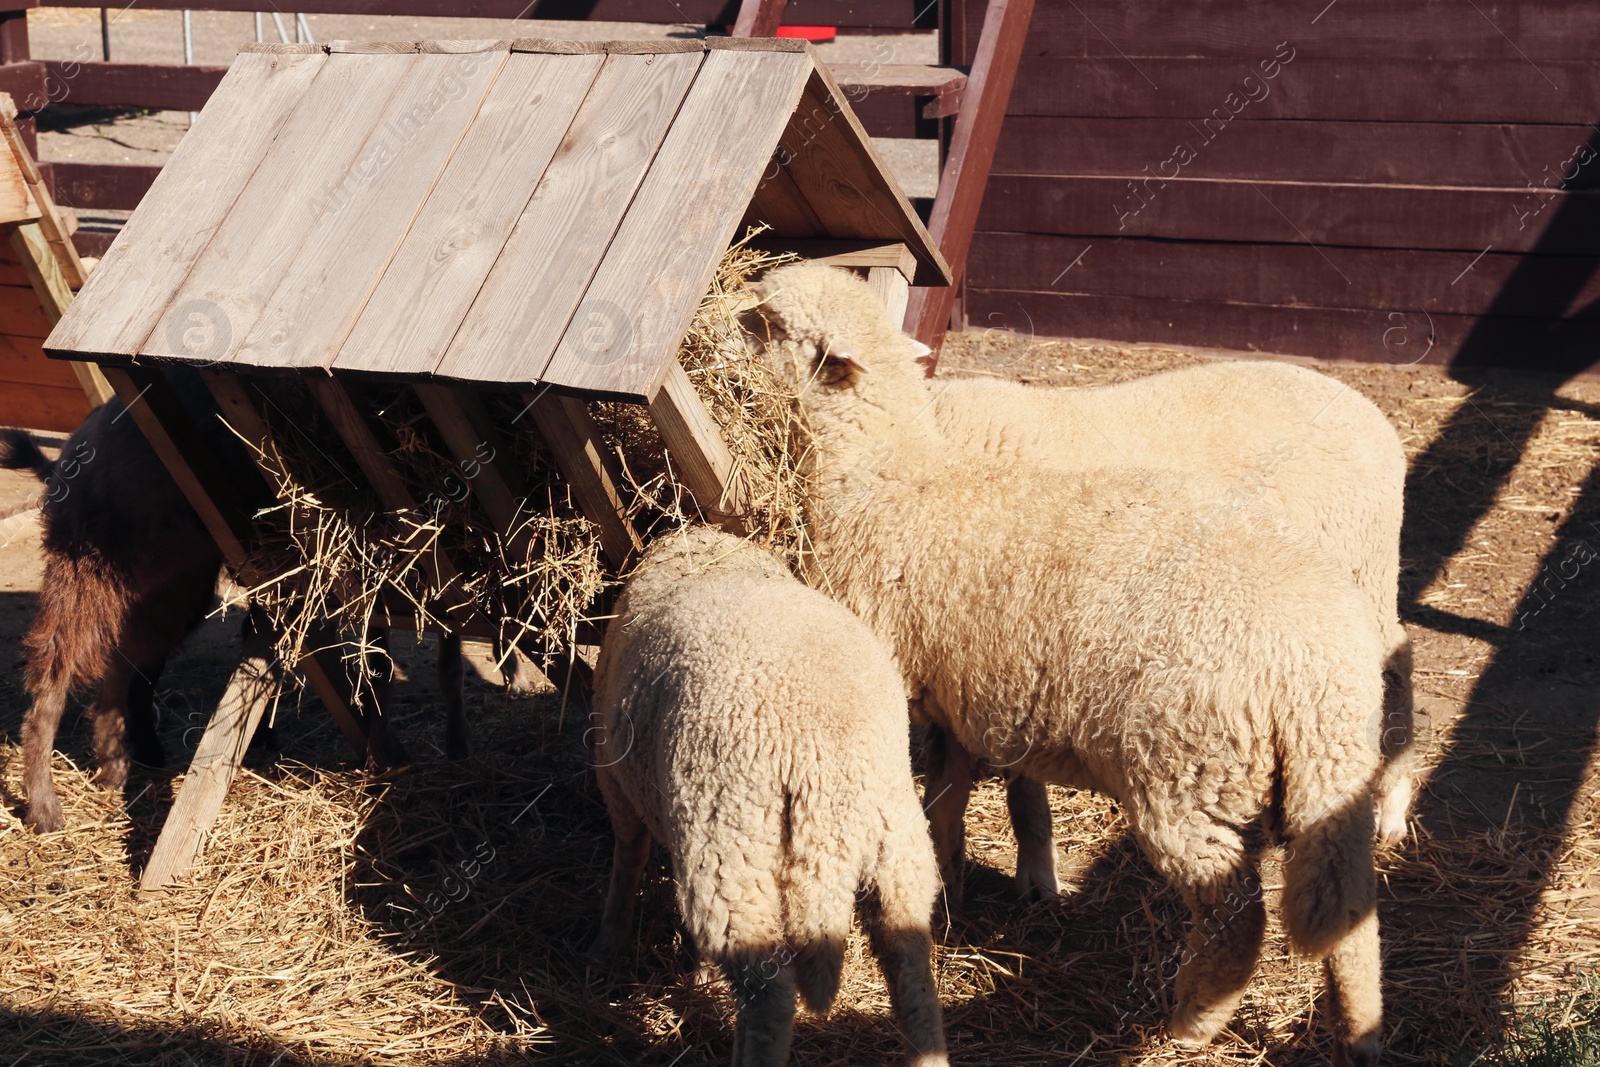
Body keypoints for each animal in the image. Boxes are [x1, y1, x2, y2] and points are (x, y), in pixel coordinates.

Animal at [3, 383, 473, 831]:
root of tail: (87, 433)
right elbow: (381, 673)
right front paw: (393, 761)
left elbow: (433, 668)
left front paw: (448, 751)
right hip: (93, 571)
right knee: (53, 678)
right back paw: (46, 806)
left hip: (171, 587)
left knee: (126, 666)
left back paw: (119, 766)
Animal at [592, 524, 947, 1067]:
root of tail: (826, 765)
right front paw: (697, 972)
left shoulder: (616, 779)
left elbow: (627, 858)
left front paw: (611, 940)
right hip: (899, 841)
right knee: (910, 967)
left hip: (730, 846)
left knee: (769, 997)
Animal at [748, 262, 1388, 1062]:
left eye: (766, 323)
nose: (731, 312)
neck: (890, 475)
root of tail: (1321, 669)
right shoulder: (964, 690)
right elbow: (950, 792)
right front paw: (951, 881)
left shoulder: (904, 676)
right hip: (1328, 774)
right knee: (1349, 910)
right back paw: (1359, 1029)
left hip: (1183, 771)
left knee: (1235, 912)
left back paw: (1191, 1020)